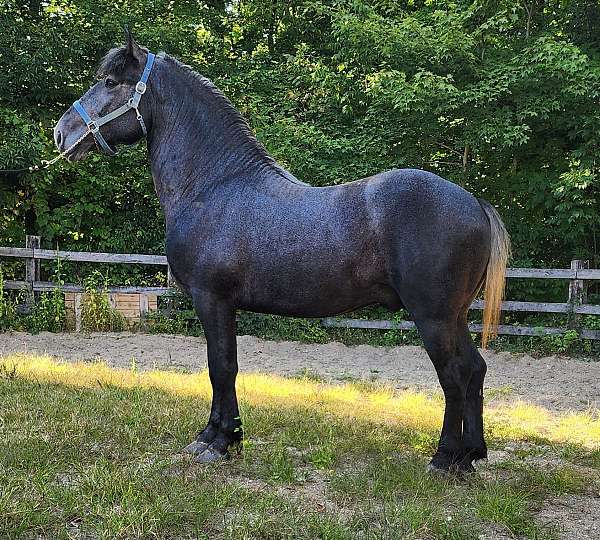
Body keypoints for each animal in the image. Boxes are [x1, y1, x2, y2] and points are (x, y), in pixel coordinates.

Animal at [55, 33, 510, 472]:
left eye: (110, 82)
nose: (61, 133)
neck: (214, 184)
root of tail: (474, 203)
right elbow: (225, 366)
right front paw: (223, 437)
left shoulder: (211, 299)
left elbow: (221, 366)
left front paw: (217, 441)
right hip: (454, 316)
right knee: (475, 370)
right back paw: (471, 455)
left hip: (433, 317)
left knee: (453, 375)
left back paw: (445, 458)